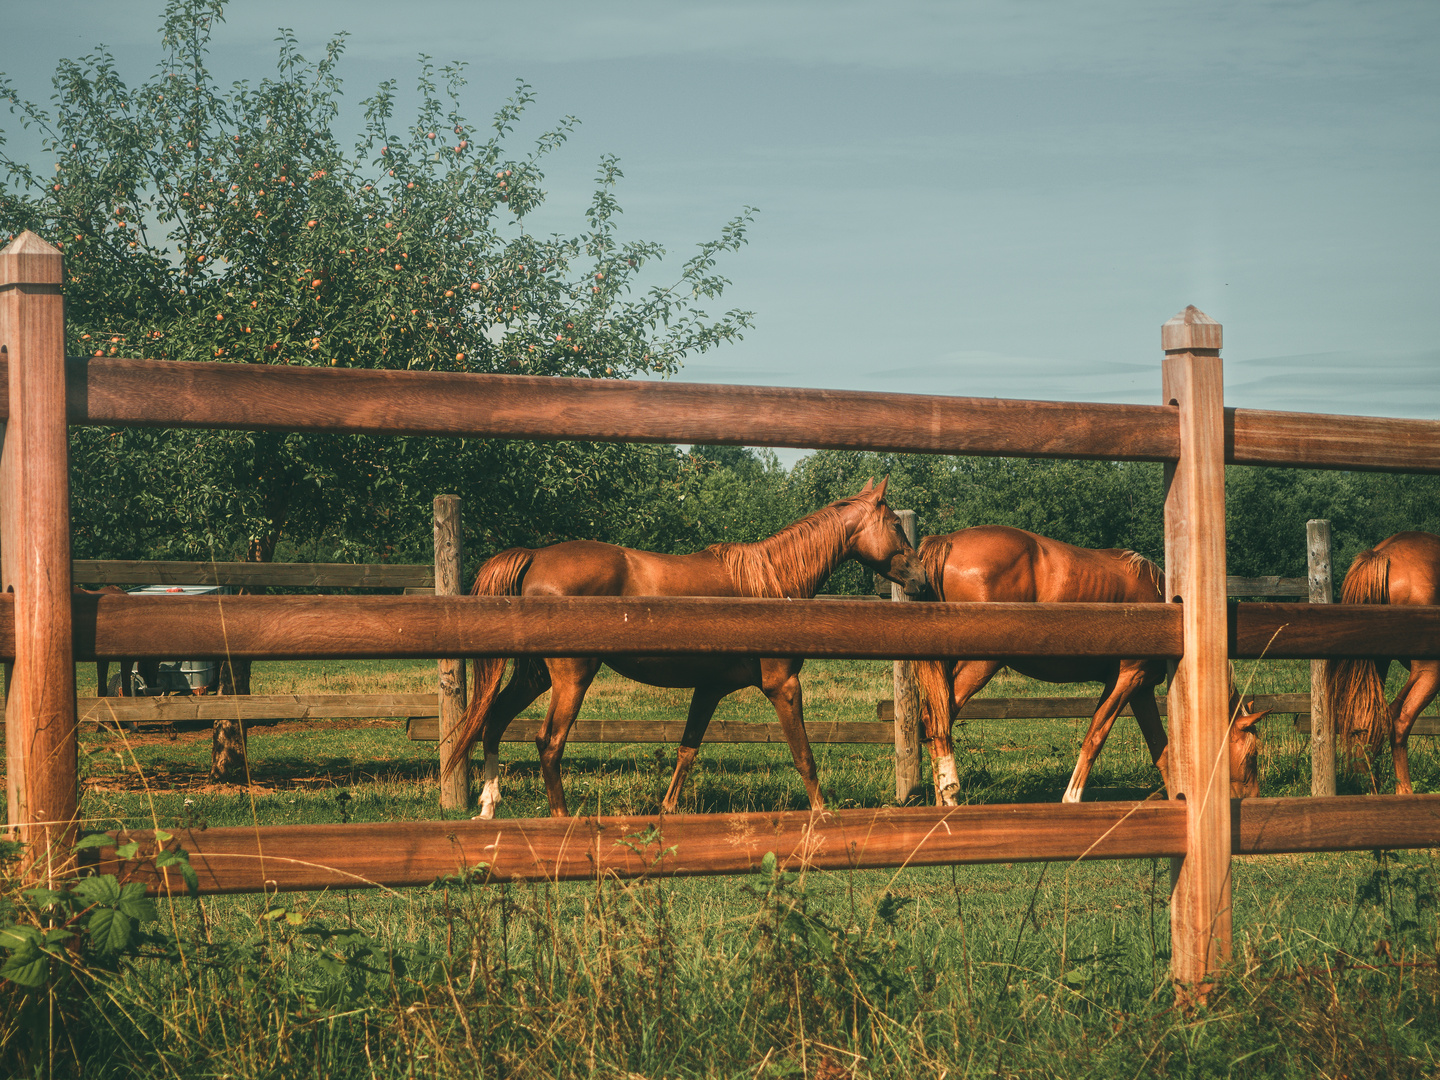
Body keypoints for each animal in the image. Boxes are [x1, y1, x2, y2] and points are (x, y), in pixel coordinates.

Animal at [443, 480, 927, 817]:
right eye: (896, 525)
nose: (921, 578)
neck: (772, 582)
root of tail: (536, 557)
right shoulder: (784, 686)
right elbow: (803, 755)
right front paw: (821, 812)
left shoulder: (708, 690)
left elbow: (687, 750)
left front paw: (667, 810)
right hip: (571, 678)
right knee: (548, 742)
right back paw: (559, 818)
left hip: (536, 676)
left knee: (494, 722)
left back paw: (488, 807)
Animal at [915, 529, 1267, 806]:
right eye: (1251, 755)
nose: (1253, 799)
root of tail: (947, 541)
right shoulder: (1126, 679)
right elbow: (1095, 735)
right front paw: (1072, 797)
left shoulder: (1141, 689)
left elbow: (1161, 748)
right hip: (979, 665)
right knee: (937, 720)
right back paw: (948, 797)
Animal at [1324, 532, 1440, 794]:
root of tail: (1383, 555)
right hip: (1428, 669)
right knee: (1399, 719)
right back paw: (1404, 790)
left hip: (1381, 666)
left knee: (1370, 719)